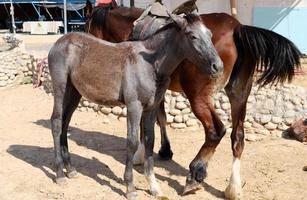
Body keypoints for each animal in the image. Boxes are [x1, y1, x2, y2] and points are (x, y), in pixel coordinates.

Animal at [48, 13, 223, 199]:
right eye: (192, 36)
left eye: (210, 34)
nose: (218, 67)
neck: (151, 65)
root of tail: (60, 41)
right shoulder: (134, 106)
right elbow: (132, 142)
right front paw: (130, 187)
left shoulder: (151, 108)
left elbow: (150, 141)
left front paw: (154, 186)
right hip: (60, 88)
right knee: (57, 122)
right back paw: (60, 174)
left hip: (74, 92)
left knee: (65, 122)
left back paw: (70, 169)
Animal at [85, 5, 302, 199]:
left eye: (86, 25)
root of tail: (237, 28)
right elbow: (160, 119)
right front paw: (163, 150)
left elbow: (150, 123)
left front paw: (143, 154)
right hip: (239, 94)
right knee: (238, 137)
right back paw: (233, 187)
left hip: (198, 96)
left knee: (216, 131)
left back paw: (195, 175)